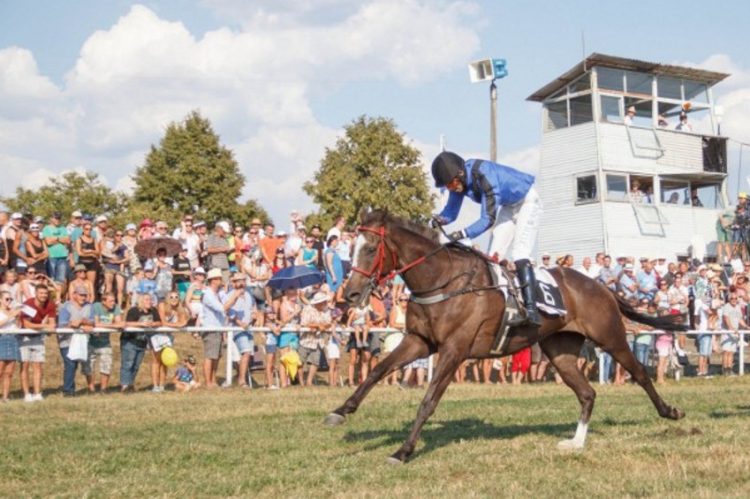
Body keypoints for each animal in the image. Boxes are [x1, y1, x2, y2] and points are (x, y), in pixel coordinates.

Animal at [324, 210, 688, 464]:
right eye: (350, 248)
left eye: (371, 248)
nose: (351, 294)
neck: (441, 280)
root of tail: (600, 286)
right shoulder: (419, 341)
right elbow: (377, 370)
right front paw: (341, 411)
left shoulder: (454, 349)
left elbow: (428, 400)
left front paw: (403, 451)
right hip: (560, 351)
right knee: (587, 393)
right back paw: (576, 442)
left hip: (610, 337)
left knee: (639, 374)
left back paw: (671, 412)